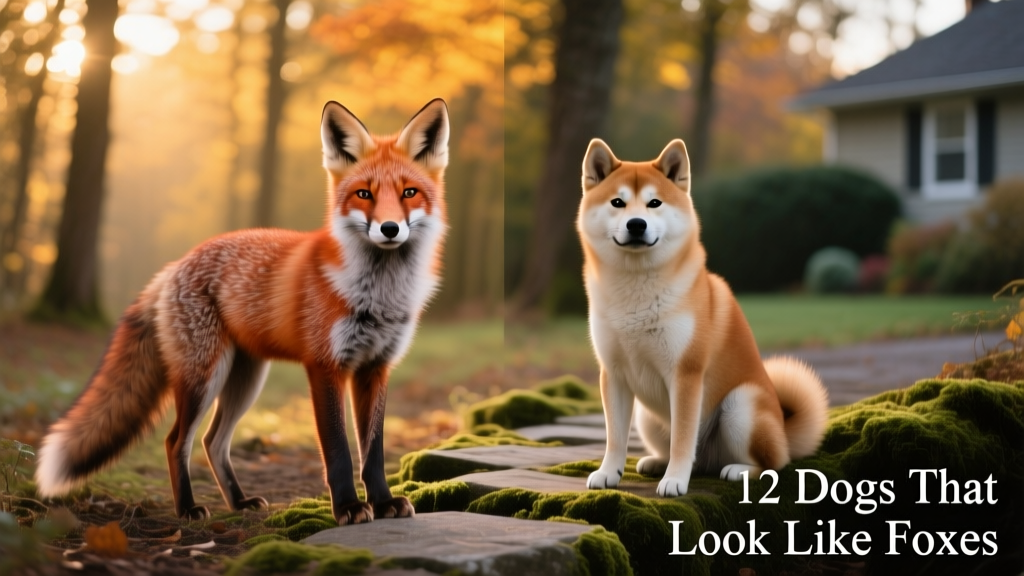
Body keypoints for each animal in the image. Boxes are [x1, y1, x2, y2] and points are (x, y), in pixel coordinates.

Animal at [34, 99, 450, 525]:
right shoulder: (325, 366)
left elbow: (374, 452)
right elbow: (338, 450)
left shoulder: (375, 368)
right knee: (176, 441)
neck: (378, 296)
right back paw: (188, 509)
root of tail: (175, 265)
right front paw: (349, 507)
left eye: (409, 192)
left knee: (213, 441)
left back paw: (238, 502)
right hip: (204, 377)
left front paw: (383, 503)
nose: (389, 228)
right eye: (364, 194)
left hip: (245, 380)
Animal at [576, 138, 829, 497]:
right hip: (648, 418)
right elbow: (615, 437)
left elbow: (683, 440)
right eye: (617, 202)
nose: (636, 223)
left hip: (740, 406)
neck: (637, 292)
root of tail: (784, 429)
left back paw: (738, 469)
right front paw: (608, 472)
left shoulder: (686, 374)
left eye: (654, 203)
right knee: (695, 458)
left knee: (773, 463)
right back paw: (656, 462)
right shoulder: (613, 374)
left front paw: (675, 480)